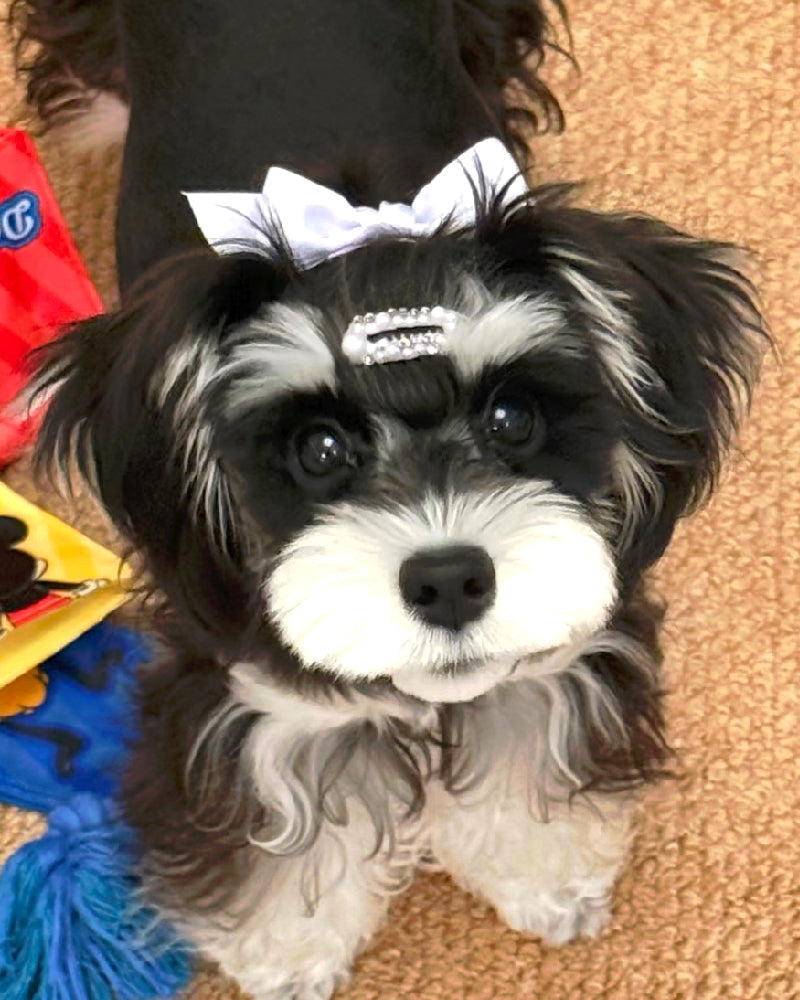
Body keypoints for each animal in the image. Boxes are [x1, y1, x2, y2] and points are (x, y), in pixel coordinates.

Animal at [11, 2, 766, 998]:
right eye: (319, 448)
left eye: (512, 416)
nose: (449, 581)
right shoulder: (248, 692)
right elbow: (275, 833)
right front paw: (285, 954)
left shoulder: (563, 649)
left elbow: (531, 753)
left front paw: (548, 881)